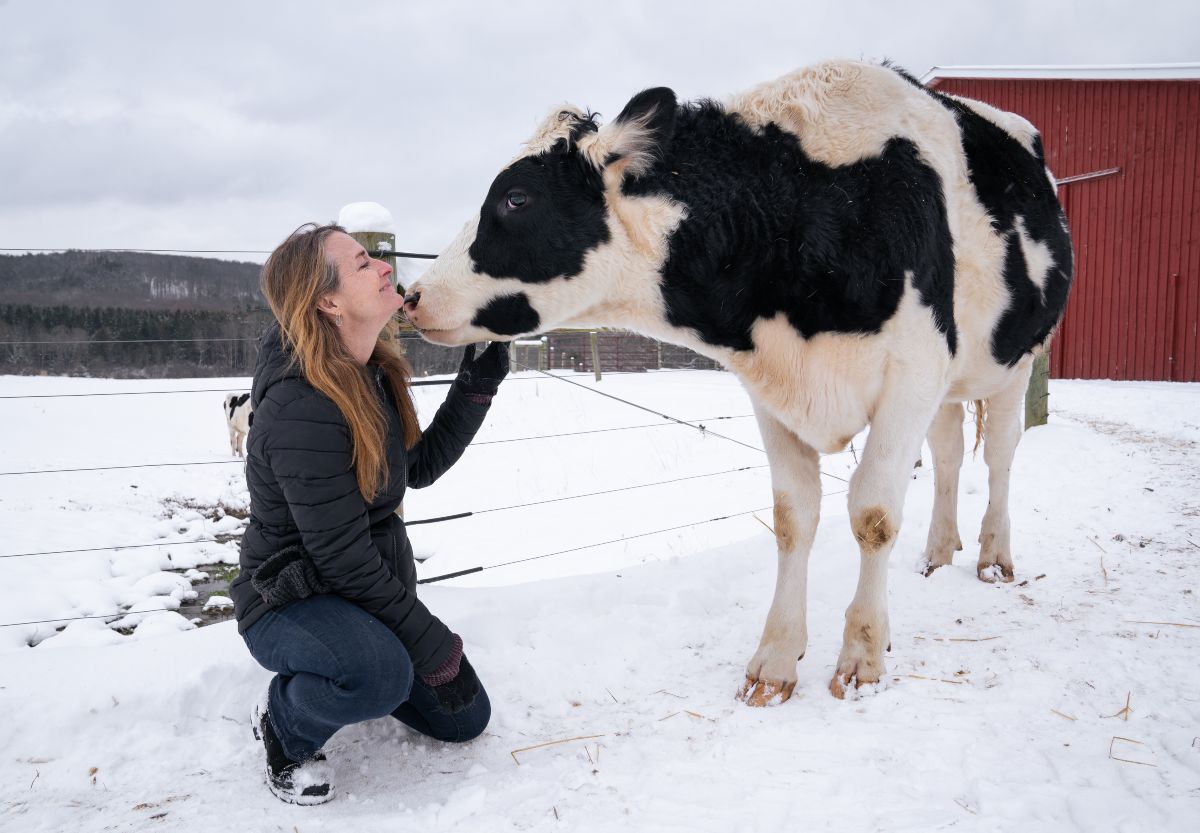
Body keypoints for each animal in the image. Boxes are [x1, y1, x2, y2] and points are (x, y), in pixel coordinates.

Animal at [405, 60, 1080, 705]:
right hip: (951, 380)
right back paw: (940, 553)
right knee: (947, 456)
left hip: (1017, 359)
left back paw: (993, 557)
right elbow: (792, 517)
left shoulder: (910, 376)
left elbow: (873, 515)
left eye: (516, 199)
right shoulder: (774, 394)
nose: (411, 296)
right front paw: (775, 664)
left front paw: (862, 657)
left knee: (999, 454)